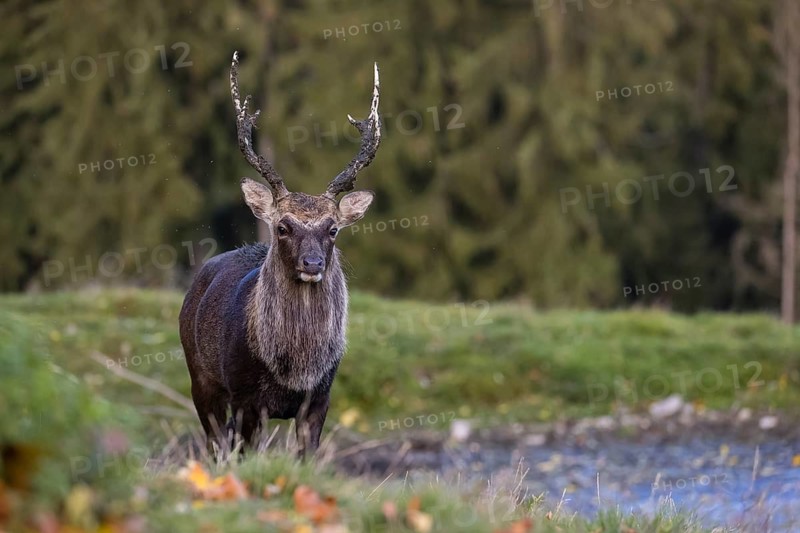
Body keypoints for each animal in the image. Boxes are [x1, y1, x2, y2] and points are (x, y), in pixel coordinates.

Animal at [179, 51, 381, 458]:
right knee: (214, 441)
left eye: (332, 229)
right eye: (283, 227)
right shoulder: (245, 397)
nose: (313, 264)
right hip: (200, 377)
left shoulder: (319, 398)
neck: (294, 369)